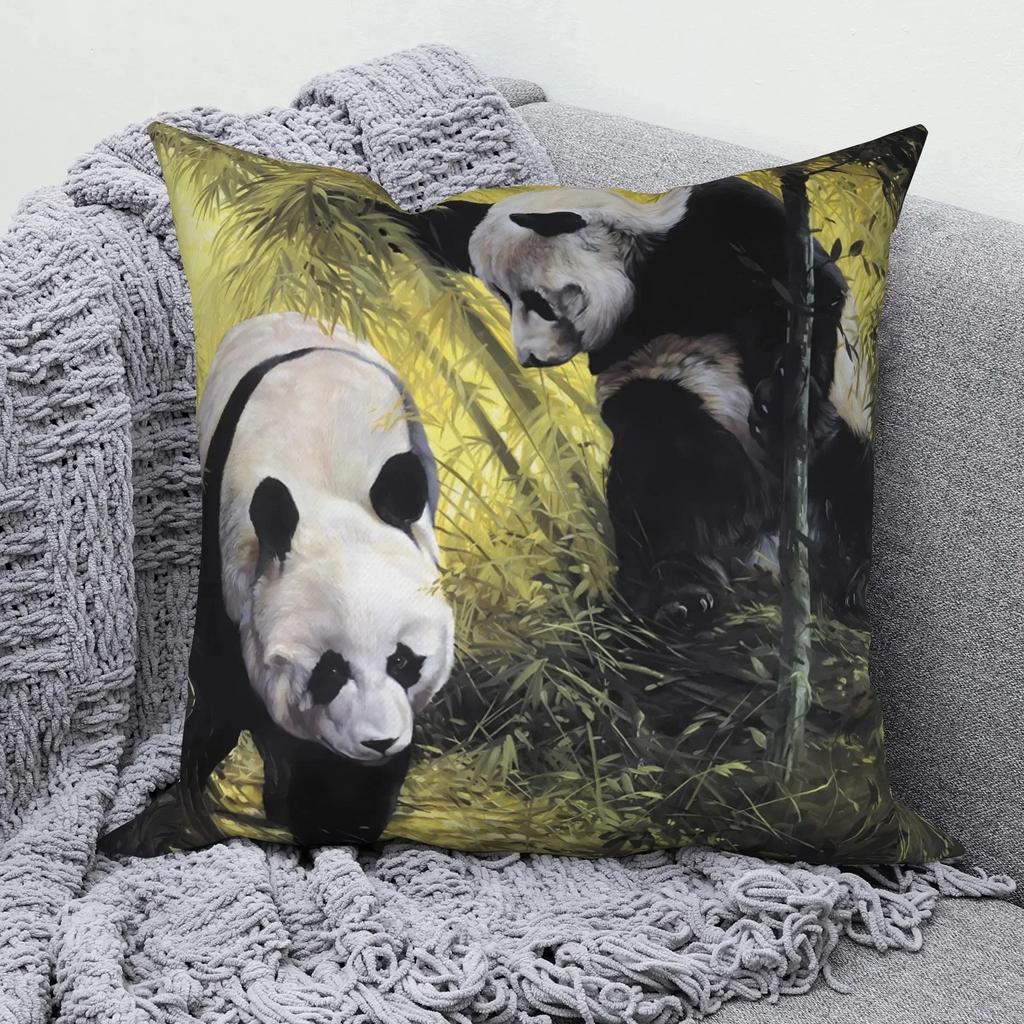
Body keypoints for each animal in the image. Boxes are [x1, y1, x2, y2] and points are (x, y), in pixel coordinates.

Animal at [103, 312, 454, 854]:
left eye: (403, 661)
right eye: (329, 670)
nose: (376, 741)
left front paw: (344, 814)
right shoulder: (230, 572)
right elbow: (229, 704)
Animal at [450, 179, 871, 623]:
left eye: (536, 301)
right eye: (503, 298)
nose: (528, 358)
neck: (644, 272)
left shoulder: (731, 225)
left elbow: (811, 301)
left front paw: (784, 408)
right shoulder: (627, 357)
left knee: (849, 478)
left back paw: (856, 583)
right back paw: (681, 595)